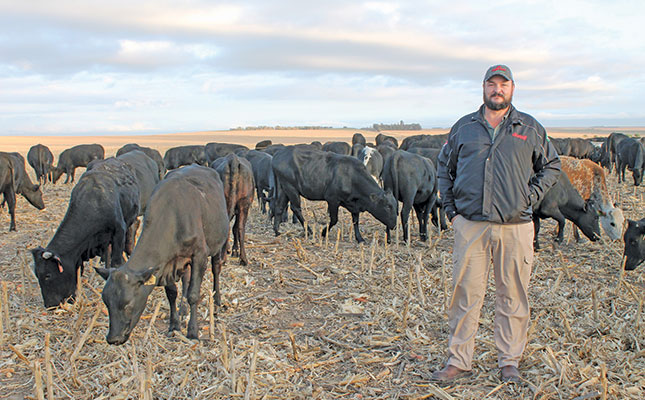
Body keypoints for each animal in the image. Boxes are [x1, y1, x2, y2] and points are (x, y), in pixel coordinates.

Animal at [94, 166, 228, 344]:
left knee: (216, 268)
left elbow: (193, 294)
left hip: (217, 243)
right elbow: (171, 293)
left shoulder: (200, 254)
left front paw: (192, 331)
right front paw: (174, 325)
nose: (113, 338)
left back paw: (217, 301)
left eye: (127, 304)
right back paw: (183, 309)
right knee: (186, 279)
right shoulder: (166, 264)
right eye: (107, 302)